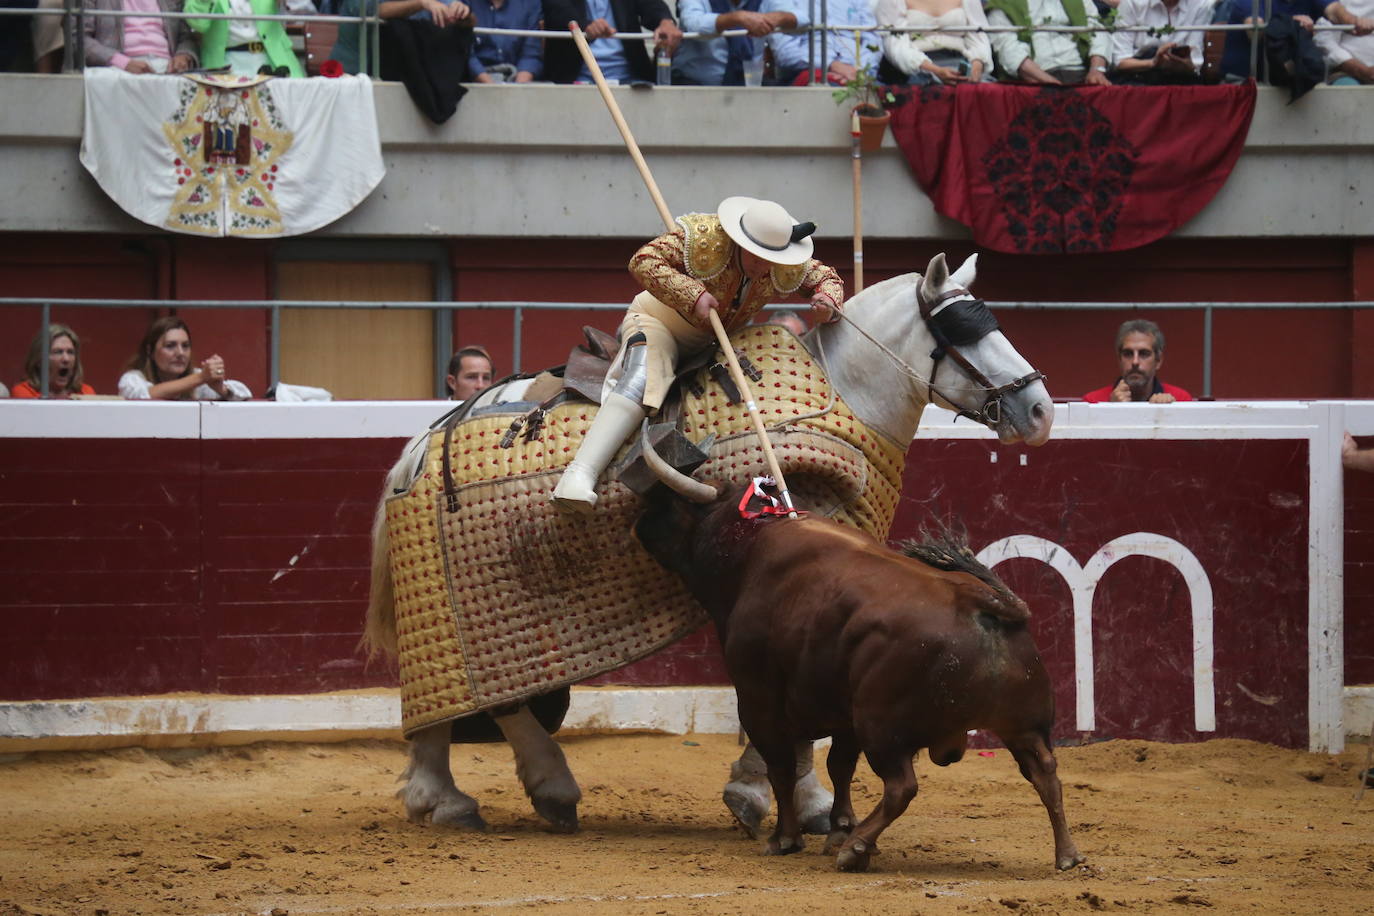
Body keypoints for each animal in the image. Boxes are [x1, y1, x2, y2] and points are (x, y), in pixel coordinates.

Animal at [362, 251, 1049, 840]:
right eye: (961, 332)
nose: (1041, 411)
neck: (848, 394)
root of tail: (419, 447)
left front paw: (793, 798)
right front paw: (771, 795)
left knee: (472, 700)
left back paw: (460, 797)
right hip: (484, 611)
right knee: (473, 694)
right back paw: (494, 794)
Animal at [632, 480, 1082, 873]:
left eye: (677, 506)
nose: (641, 516)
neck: (749, 551)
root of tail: (977, 598)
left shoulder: (759, 700)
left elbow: (782, 767)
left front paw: (787, 839)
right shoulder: (842, 713)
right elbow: (839, 766)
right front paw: (837, 829)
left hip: (882, 727)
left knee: (901, 787)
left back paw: (857, 849)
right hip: (1023, 727)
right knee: (1045, 772)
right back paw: (1067, 855)